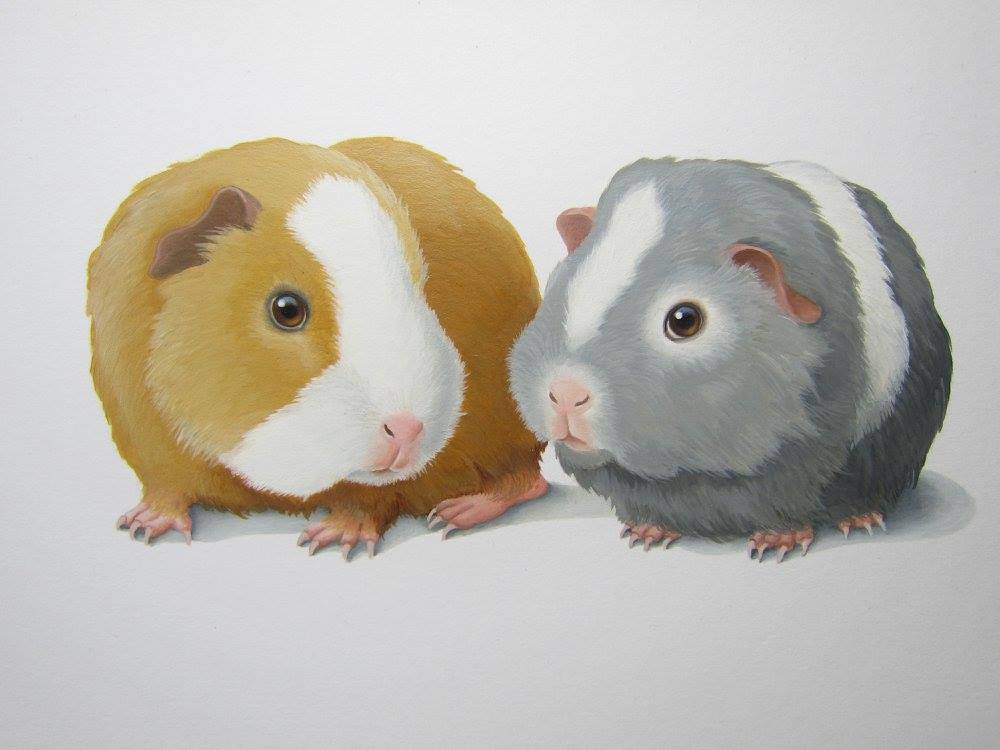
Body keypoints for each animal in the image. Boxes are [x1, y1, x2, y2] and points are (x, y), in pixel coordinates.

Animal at [88, 137, 546, 558]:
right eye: (287, 309)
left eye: (419, 288)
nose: (406, 430)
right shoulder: (149, 438)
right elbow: (168, 487)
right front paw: (144, 525)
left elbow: (367, 499)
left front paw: (332, 539)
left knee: (526, 482)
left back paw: (454, 515)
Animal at [509, 157, 951, 561]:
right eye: (564, 287)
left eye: (685, 320)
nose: (566, 393)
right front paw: (645, 533)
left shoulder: (804, 459)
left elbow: (789, 503)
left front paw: (775, 545)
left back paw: (859, 521)